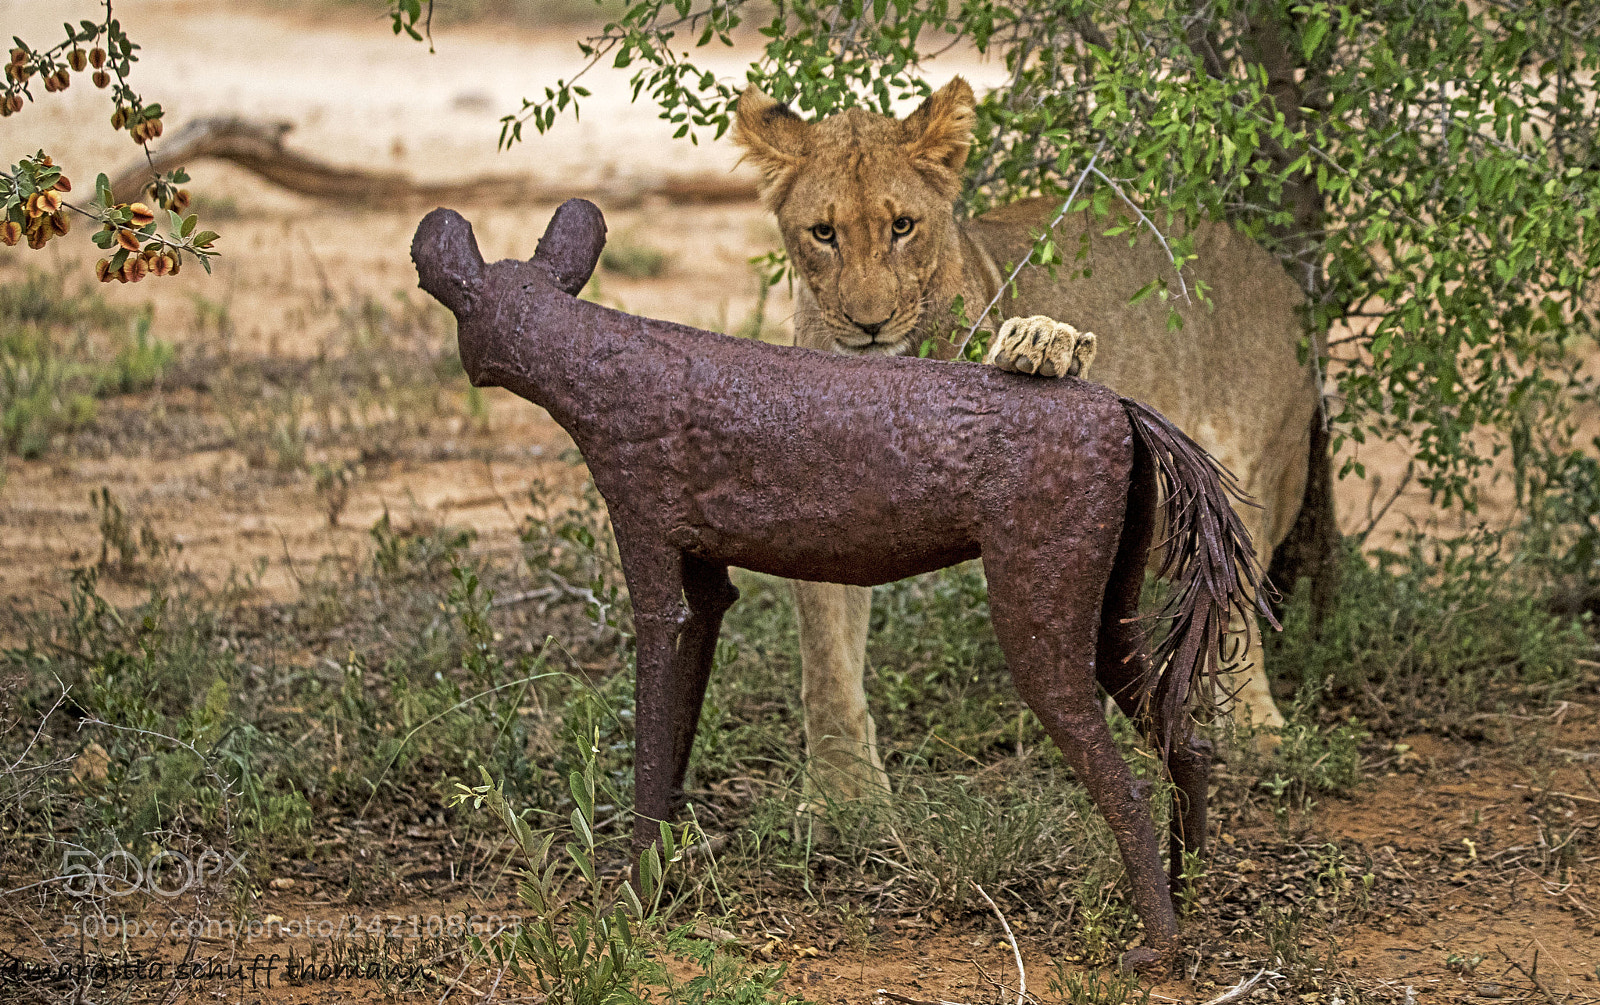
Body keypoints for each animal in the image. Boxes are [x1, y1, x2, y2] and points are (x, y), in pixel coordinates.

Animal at [733, 76, 1322, 800]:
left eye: (902, 227)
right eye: (824, 233)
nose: (870, 324)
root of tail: (1285, 278)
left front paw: (1043, 342)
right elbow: (827, 661)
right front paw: (845, 795)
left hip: (1239, 477)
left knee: (1238, 607)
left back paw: (1253, 734)